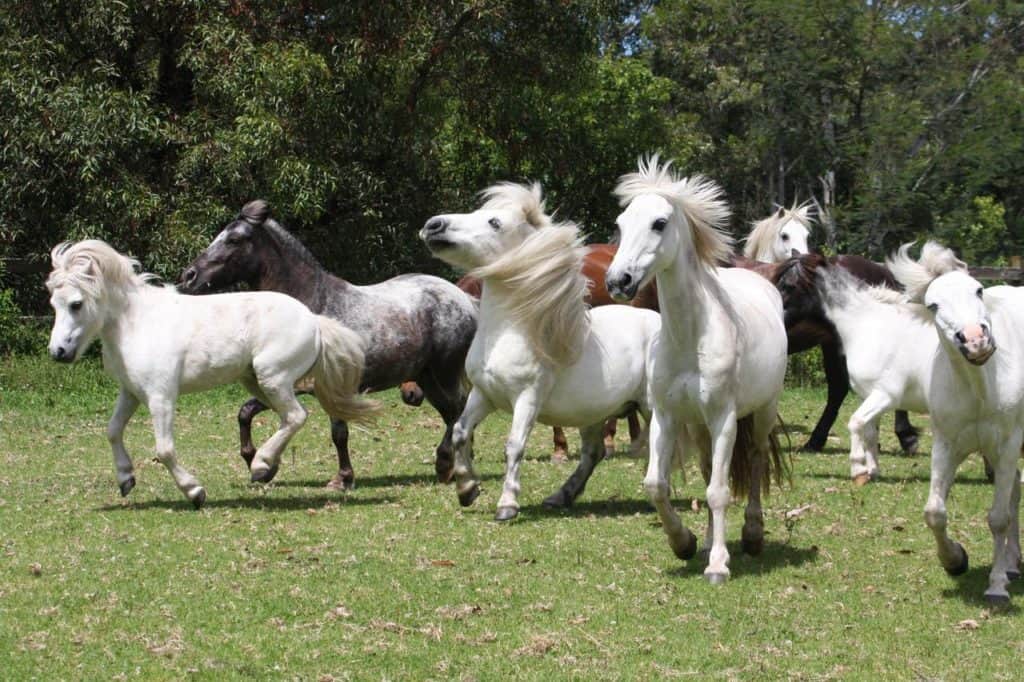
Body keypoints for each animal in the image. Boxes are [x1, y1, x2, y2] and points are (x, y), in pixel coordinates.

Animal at [47, 240, 375, 507]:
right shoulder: (131, 393)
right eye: (54, 304)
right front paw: (126, 479)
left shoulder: (160, 397)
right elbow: (113, 431)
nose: (58, 352)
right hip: (257, 382)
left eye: (76, 304)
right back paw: (267, 468)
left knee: (296, 416)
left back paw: (261, 465)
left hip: (274, 378)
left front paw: (194, 492)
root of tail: (314, 320)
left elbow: (164, 449)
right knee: (287, 418)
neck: (138, 323)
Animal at [179, 200, 477, 490]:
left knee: (457, 410)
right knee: (452, 413)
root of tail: (464, 299)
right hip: (426, 379)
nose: (189, 276)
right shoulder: (289, 386)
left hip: (444, 373)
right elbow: (245, 412)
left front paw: (342, 479)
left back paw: (446, 464)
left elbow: (339, 433)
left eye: (234, 239)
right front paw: (259, 465)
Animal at [419, 182, 661, 521]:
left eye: (494, 222)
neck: (510, 333)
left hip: (651, 406)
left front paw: (507, 504)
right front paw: (467, 489)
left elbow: (514, 446)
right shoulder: (483, 394)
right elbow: (460, 432)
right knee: (594, 452)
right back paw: (562, 495)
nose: (433, 225)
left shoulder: (527, 398)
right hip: (593, 414)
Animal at [605, 157, 789, 584]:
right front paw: (684, 543)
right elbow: (656, 484)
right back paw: (706, 541)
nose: (618, 281)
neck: (691, 338)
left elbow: (720, 492)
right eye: (620, 224)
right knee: (708, 470)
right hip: (701, 426)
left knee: (755, 459)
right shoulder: (667, 416)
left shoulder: (724, 419)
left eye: (659, 223)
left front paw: (719, 565)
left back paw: (752, 535)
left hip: (761, 412)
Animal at [883, 242, 1022, 604]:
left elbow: (998, 518)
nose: (975, 340)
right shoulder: (947, 446)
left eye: (978, 290)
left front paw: (996, 585)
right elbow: (934, 512)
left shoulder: (1006, 446)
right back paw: (1013, 563)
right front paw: (955, 560)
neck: (981, 388)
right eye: (933, 305)